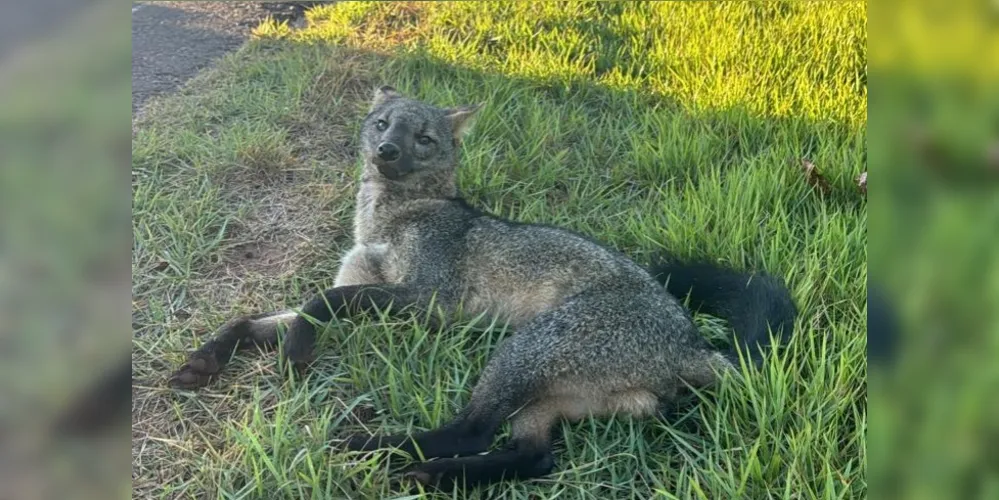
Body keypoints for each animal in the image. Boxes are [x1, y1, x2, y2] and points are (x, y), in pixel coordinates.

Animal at [170, 85, 796, 488]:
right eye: (383, 126)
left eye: (423, 137)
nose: (386, 152)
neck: (392, 219)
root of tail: (694, 342)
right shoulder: (369, 285)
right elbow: (263, 316)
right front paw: (207, 360)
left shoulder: (430, 300)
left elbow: (324, 301)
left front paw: (299, 348)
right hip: (541, 396)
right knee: (533, 458)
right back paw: (437, 475)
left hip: (522, 352)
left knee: (471, 429)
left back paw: (377, 450)